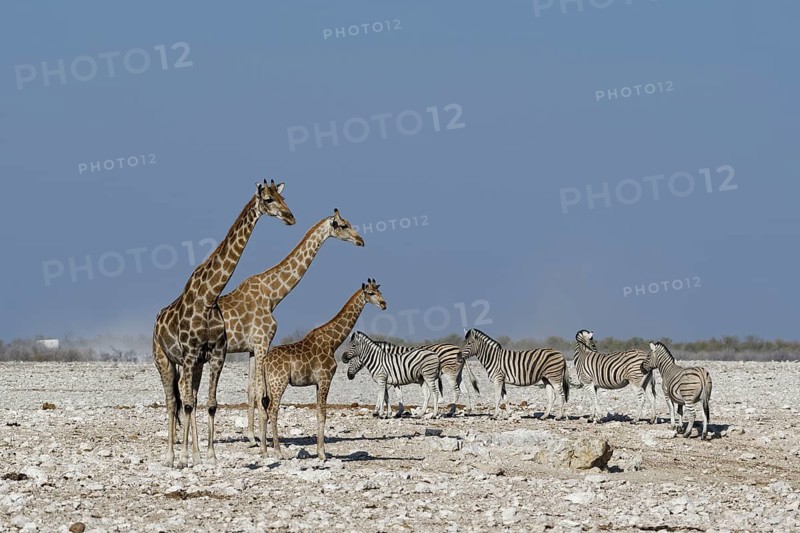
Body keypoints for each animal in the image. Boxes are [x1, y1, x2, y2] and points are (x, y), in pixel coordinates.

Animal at [152, 179, 294, 469]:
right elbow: (186, 404)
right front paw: (183, 458)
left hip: (193, 365)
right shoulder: (189, 354)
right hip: (165, 359)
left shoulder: (216, 355)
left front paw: (209, 456)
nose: (290, 217)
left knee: (191, 400)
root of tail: (156, 322)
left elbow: (210, 403)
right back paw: (171, 457)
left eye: (283, 197)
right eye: (268, 199)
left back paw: (194, 454)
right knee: (173, 402)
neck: (208, 297)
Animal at [216, 208, 365, 444]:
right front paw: (262, 440)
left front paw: (252, 438)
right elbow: (261, 392)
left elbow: (251, 389)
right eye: (343, 225)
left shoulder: (252, 348)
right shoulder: (262, 343)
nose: (360, 240)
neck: (272, 296)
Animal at [258, 278, 386, 461]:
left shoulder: (318, 382)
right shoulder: (325, 378)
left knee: (263, 408)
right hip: (279, 382)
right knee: (272, 409)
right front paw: (322, 454)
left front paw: (320, 452)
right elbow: (323, 414)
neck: (333, 342)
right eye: (370, 293)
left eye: (380, 291)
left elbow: (318, 412)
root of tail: (264, 361)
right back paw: (278, 452)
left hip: (267, 384)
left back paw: (263, 450)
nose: (384, 304)